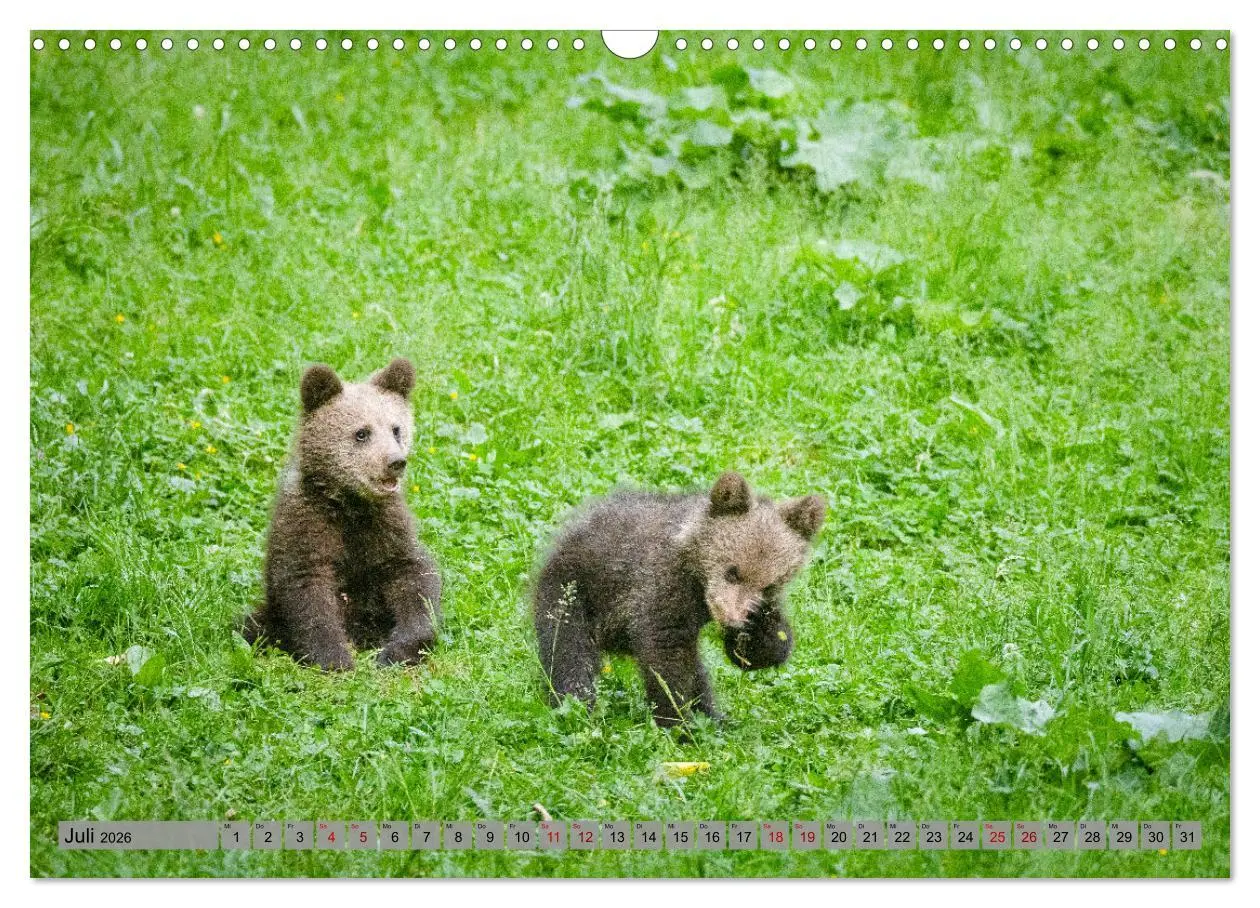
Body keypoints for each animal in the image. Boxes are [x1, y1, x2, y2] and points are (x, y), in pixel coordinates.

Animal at [242, 358, 442, 670]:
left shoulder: (388, 529)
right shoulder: (306, 525)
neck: (350, 505)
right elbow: (307, 591)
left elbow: (416, 580)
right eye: (361, 432)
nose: (395, 462)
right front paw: (334, 657)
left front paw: (398, 650)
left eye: (396, 429)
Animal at [532, 471, 826, 727]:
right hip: (572, 592)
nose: (733, 619)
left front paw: (759, 634)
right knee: (568, 652)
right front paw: (678, 722)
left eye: (769, 584)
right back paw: (576, 707)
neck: (695, 577)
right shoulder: (660, 588)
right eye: (733, 572)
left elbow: (759, 652)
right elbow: (667, 659)